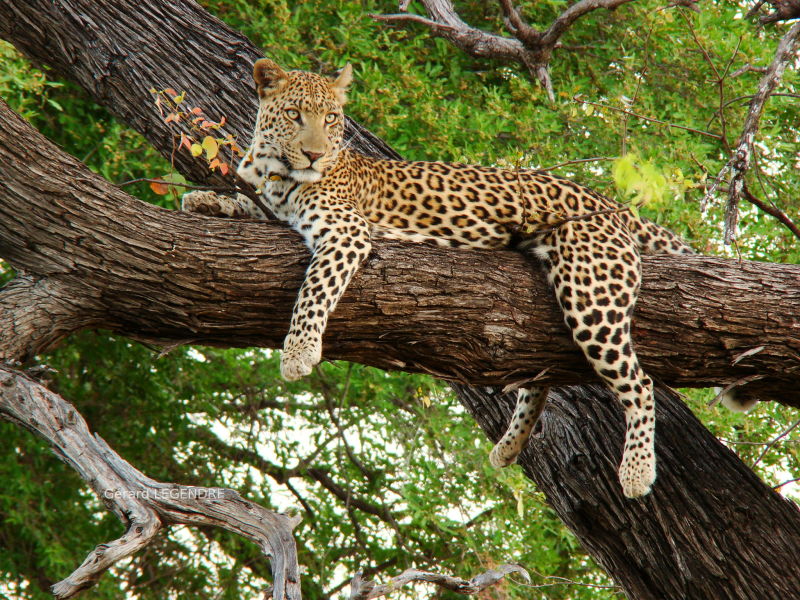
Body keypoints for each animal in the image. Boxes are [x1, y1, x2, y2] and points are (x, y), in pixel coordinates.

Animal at [184, 58, 696, 500]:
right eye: (294, 114)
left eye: (330, 119)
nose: (313, 154)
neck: (275, 170)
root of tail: (608, 202)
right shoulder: (275, 208)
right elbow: (248, 205)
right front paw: (205, 200)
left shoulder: (347, 232)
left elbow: (315, 289)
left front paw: (298, 352)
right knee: (542, 374)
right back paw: (509, 446)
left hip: (591, 293)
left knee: (639, 382)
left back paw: (636, 471)